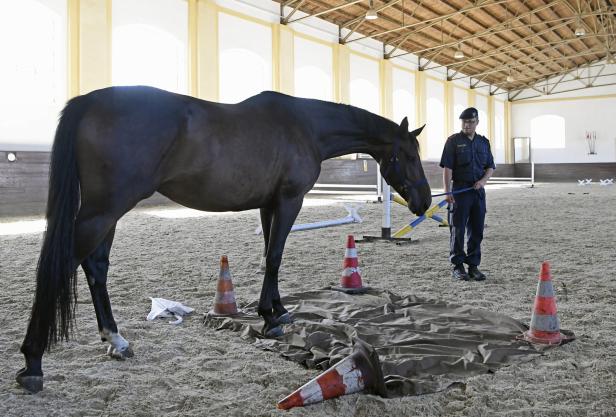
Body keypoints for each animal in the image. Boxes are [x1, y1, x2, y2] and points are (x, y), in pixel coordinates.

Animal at [14, 86, 430, 392]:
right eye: (409, 155)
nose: (425, 201)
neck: (305, 127)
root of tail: (88, 100)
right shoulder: (289, 200)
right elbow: (275, 256)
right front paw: (271, 319)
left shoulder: (268, 204)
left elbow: (269, 255)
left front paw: (276, 310)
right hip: (105, 209)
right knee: (63, 266)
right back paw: (32, 362)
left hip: (107, 212)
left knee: (95, 266)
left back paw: (116, 341)